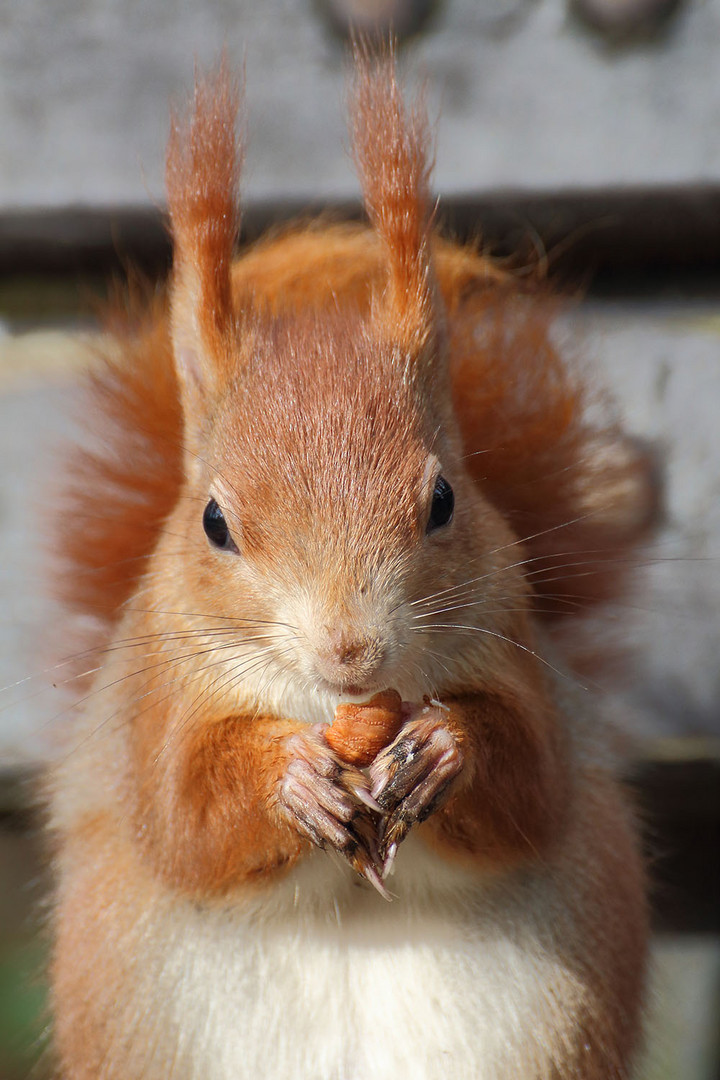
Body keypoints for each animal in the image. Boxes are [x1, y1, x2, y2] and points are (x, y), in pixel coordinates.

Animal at [45, 46, 651, 1080]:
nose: (349, 649)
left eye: (444, 501)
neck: (340, 711)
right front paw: (288, 776)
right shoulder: (157, 704)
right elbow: (184, 818)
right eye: (214, 522)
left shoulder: (515, 650)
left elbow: (533, 784)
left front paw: (445, 746)